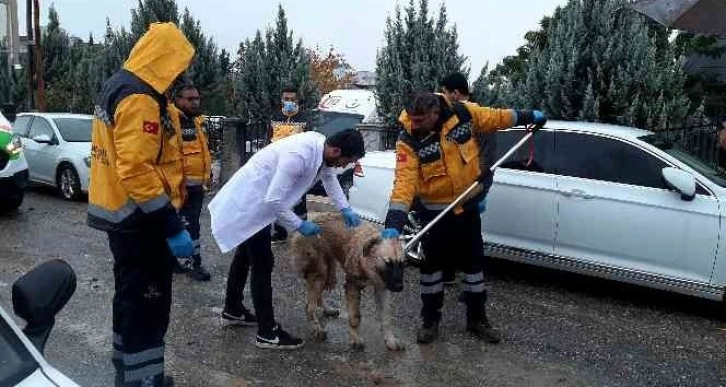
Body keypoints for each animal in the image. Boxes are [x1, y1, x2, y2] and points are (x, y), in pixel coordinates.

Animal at [290, 212, 406, 352]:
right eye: (388, 263)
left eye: (402, 264)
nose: (400, 287)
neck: (367, 261)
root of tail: (307, 219)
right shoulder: (352, 286)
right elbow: (355, 316)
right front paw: (355, 340)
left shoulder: (382, 289)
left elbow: (386, 317)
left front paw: (390, 341)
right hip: (319, 272)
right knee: (309, 307)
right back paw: (317, 330)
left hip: (327, 268)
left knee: (318, 296)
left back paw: (327, 310)